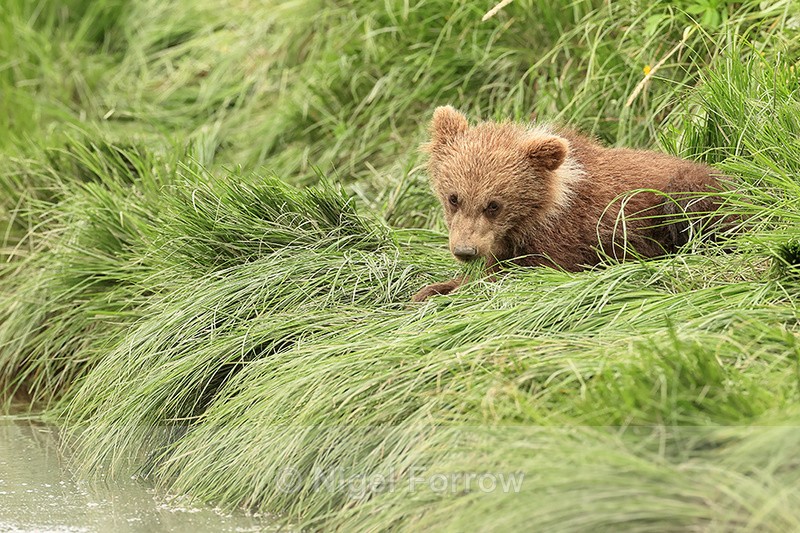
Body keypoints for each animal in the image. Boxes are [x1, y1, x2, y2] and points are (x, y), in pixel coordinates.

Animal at [412, 106, 727, 302]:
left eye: (493, 204)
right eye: (453, 197)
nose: (465, 251)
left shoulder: (564, 240)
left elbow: (520, 273)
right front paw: (430, 290)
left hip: (685, 192)